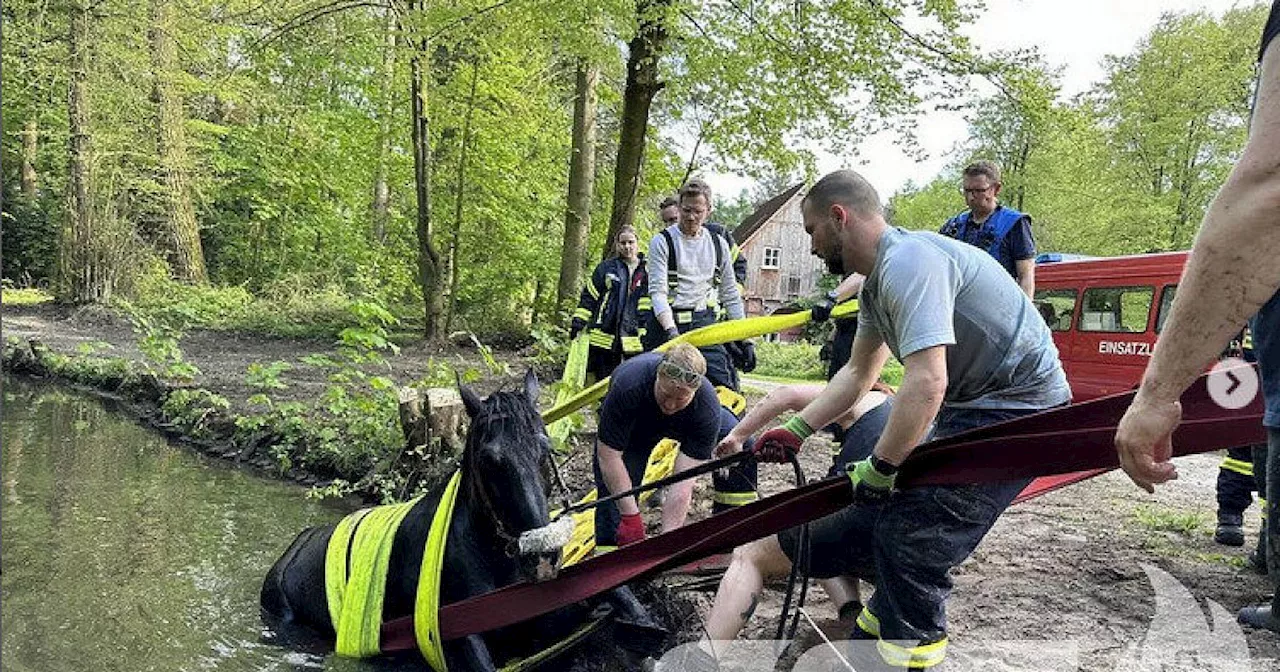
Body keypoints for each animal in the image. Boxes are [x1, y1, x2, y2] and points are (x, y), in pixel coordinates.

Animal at [259, 368, 660, 665]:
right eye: (490, 459)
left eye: (546, 448)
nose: (543, 558)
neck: (495, 559)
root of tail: (293, 548)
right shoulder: (459, 635)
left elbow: (609, 590)